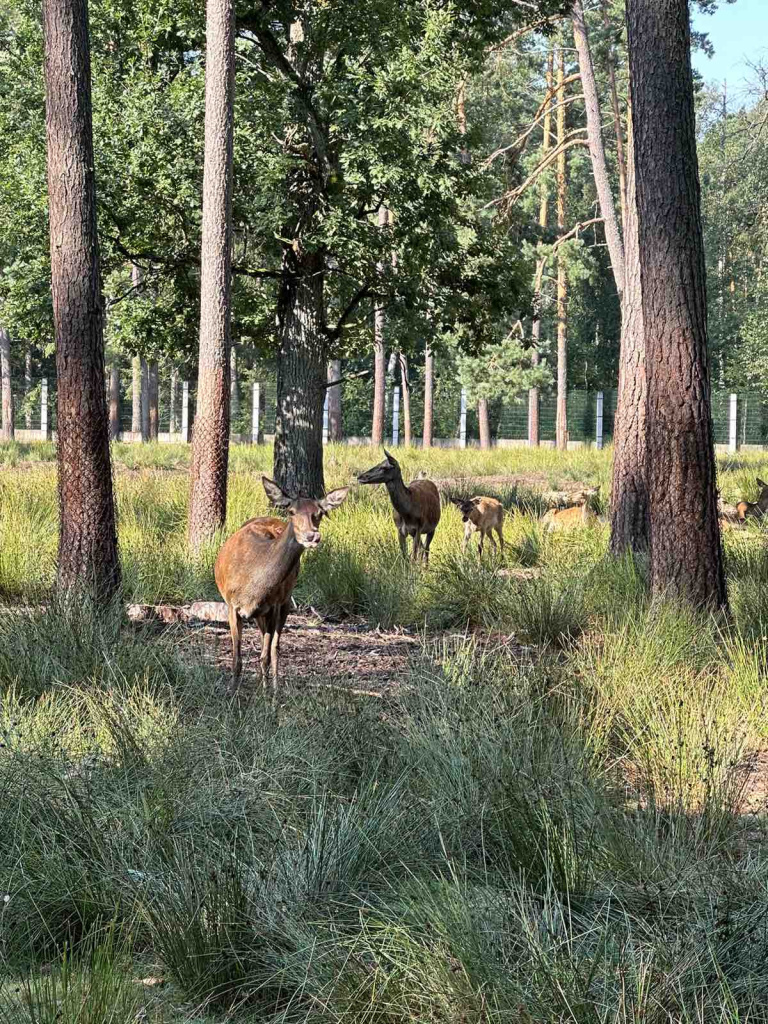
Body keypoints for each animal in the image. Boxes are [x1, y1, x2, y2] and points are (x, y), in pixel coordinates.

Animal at [214, 477, 348, 690]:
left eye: (319, 513)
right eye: (292, 511)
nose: (312, 536)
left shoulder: (274, 605)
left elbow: (266, 655)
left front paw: (267, 693)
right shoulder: (231, 604)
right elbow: (237, 658)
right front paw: (232, 691)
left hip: (285, 602)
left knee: (275, 649)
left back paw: (275, 687)